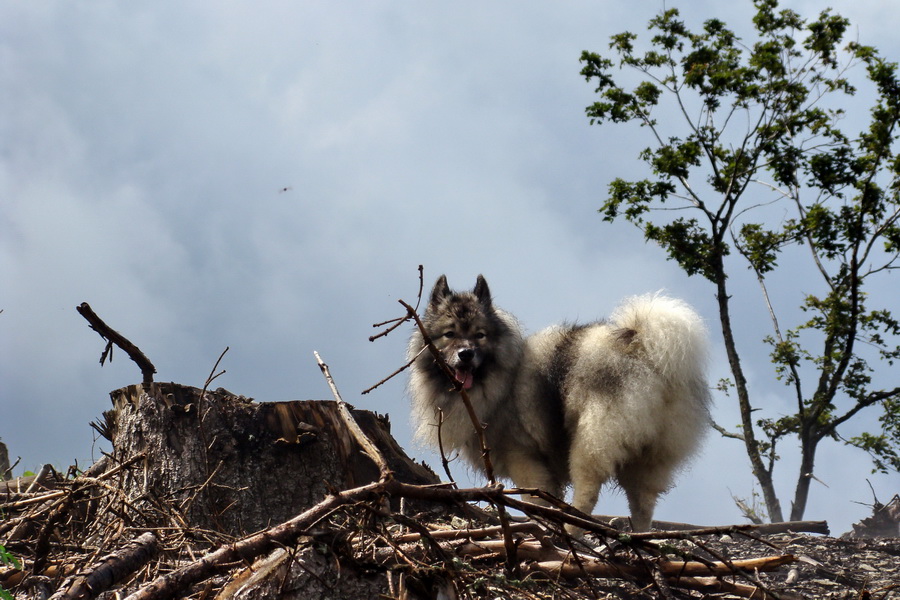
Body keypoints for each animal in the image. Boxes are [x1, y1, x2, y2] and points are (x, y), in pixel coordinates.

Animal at [408, 274, 712, 528]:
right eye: (449, 334)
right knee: (643, 507)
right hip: (649, 461)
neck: (501, 380)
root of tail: (642, 350)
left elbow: (537, 501)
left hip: (589, 441)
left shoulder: (525, 461)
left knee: (587, 495)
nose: (466, 354)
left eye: (479, 335)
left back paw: (573, 530)